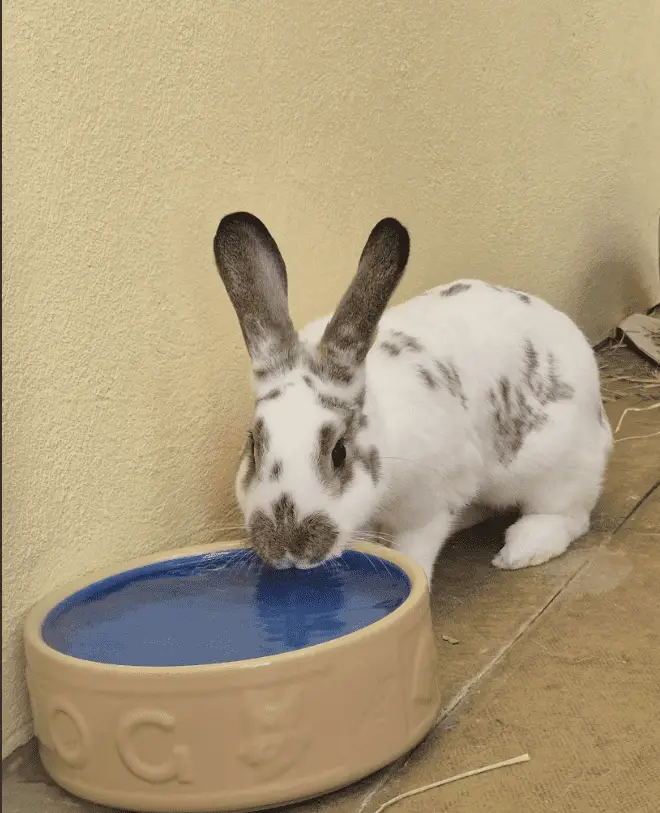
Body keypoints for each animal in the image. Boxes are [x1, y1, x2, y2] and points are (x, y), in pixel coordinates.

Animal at [213, 212, 612, 585]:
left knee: (569, 516)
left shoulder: (429, 506)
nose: (289, 550)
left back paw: (522, 549)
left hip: (558, 472)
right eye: (253, 447)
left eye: (339, 452)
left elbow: (414, 552)